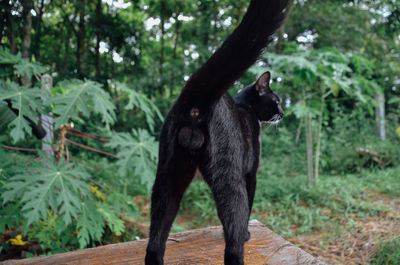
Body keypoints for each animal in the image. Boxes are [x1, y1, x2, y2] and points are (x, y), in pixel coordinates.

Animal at [145, 0, 290, 264]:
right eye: (276, 101)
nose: (283, 113)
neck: (246, 108)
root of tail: (198, 98)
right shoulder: (250, 172)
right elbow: (248, 208)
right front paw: (246, 234)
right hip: (229, 178)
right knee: (235, 221)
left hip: (168, 174)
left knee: (157, 233)